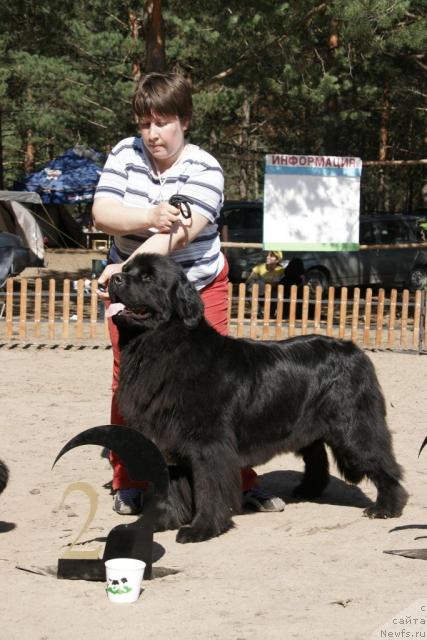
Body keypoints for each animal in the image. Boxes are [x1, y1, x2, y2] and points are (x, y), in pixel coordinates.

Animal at [109, 252, 408, 544]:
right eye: (126, 269)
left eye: (148, 278)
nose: (114, 278)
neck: (164, 348)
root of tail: (355, 350)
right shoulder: (166, 437)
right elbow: (169, 487)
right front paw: (162, 522)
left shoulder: (209, 444)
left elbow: (209, 487)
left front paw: (202, 529)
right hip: (307, 426)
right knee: (317, 457)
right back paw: (308, 490)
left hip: (353, 428)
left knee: (382, 462)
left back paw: (387, 507)